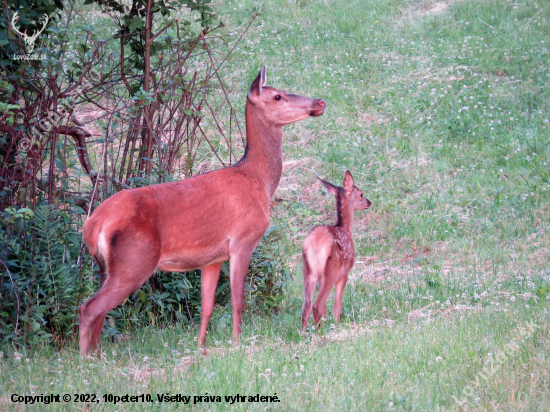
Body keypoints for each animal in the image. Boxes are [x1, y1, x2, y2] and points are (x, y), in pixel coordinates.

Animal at [80, 66, 326, 356]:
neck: (257, 180)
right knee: (89, 308)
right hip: (134, 260)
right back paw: (85, 360)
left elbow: (207, 307)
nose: (320, 102)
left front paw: (201, 348)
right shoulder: (243, 240)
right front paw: (237, 343)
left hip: (106, 267)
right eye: (278, 96)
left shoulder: (212, 258)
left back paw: (97, 356)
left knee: (99, 311)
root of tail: (93, 224)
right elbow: (237, 300)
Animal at [300, 171, 374, 334]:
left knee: (306, 305)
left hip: (309, 270)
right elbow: (337, 304)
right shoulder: (345, 271)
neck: (345, 229)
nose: (369, 202)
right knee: (317, 304)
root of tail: (315, 242)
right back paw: (320, 333)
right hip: (331, 269)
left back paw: (302, 333)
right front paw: (337, 324)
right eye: (361, 194)